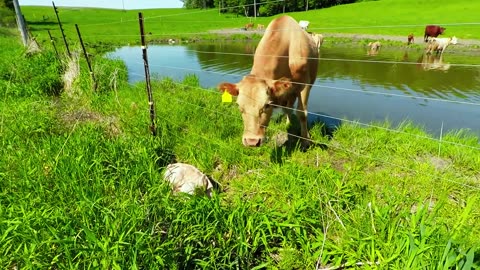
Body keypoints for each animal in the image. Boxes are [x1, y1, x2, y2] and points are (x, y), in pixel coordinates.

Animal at [218, 15, 318, 148]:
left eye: (267, 105)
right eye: (239, 105)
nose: (251, 141)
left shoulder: (304, 84)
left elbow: (302, 113)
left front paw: (305, 141)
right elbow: (288, 109)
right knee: (288, 107)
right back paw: (288, 123)